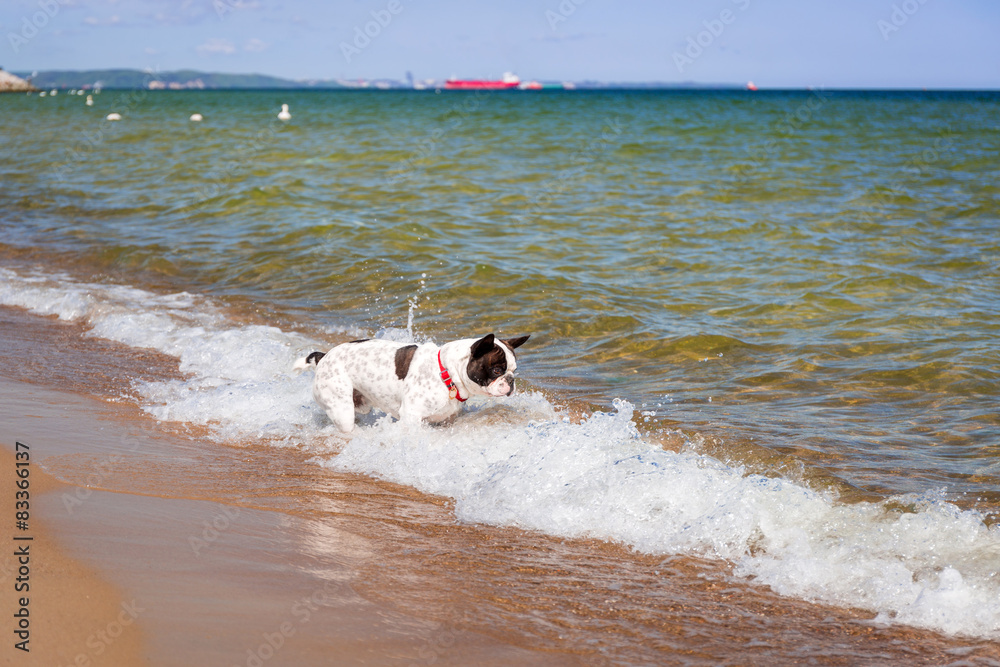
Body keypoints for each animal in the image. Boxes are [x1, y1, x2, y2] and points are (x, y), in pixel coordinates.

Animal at [294, 332, 532, 434]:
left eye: (514, 371)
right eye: (497, 370)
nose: (511, 380)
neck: (447, 374)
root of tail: (324, 356)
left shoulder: (447, 420)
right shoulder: (411, 416)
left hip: (360, 405)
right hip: (342, 409)